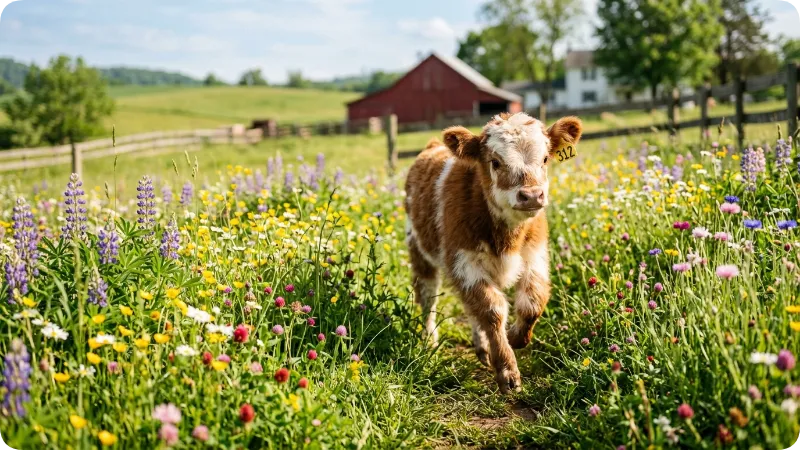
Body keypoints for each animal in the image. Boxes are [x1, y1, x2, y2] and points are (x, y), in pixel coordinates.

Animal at [404, 112, 582, 393]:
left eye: (545, 158)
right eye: (495, 162)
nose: (532, 195)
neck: (507, 237)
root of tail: (432, 146)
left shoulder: (535, 256)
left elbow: (532, 303)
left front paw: (514, 337)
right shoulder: (465, 263)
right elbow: (492, 310)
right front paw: (507, 371)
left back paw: (482, 347)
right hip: (420, 252)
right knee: (428, 298)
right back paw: (430, 340)